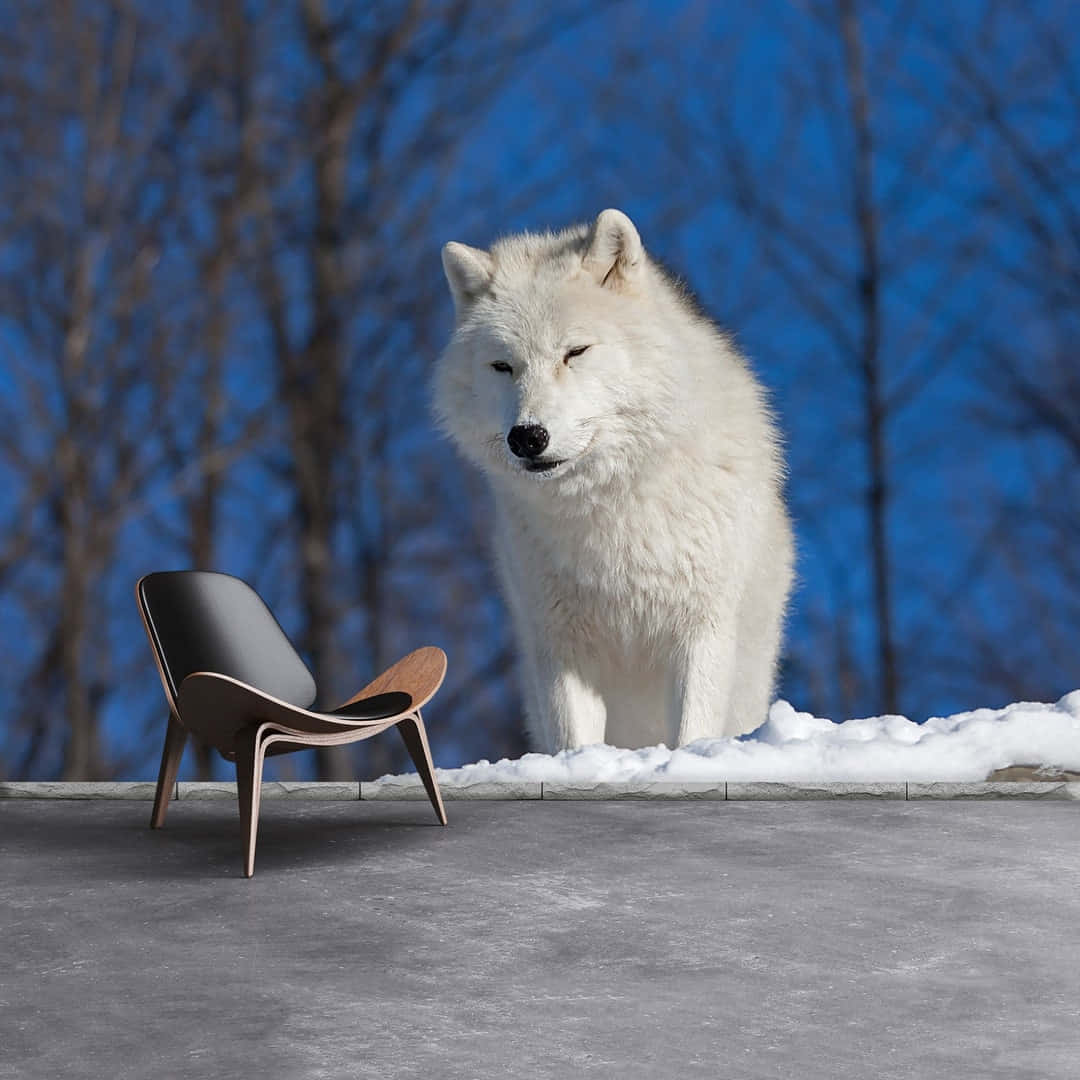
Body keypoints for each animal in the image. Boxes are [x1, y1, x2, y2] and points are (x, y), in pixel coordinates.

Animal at [429, 208, 794, 751]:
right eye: (502, 366)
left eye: (575, 352)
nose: (527, 437)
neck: (611, 508)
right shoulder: (561, 646)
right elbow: (574, 742)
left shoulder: (701, 629)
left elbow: (691, 730)